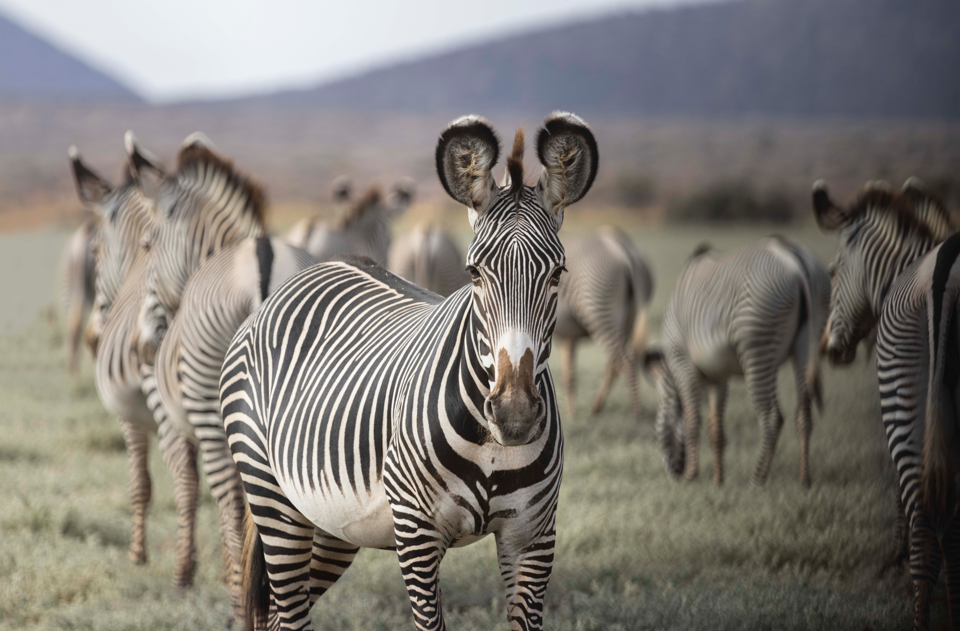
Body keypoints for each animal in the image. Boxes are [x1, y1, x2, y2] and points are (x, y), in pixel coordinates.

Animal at [68, 139, 203, 587]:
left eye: (96, 249)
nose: (93, 339)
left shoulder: (130, 417)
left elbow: (139, 483)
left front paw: (138, 554)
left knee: (182, 473)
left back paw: (183, 572)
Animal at [554, 226, 654, 422]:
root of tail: (621, 247)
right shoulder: (566, 337)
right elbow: (568, 376)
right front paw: (570, 416)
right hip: (628, 319)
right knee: (615, 363)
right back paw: (595, 409)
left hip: (599, 310)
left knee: (626, 361)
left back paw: (636, 415)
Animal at [642, 236, 830, 486]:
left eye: (656, 428)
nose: (674, 474)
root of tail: (793, 258)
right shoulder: (717, 376)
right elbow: (716, 429)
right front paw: (718, 480)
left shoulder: (684, 364)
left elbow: (692, 420)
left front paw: (692, 477)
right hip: (807, 342)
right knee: (804, 413)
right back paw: (804, 479)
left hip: (757, 350)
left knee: (772, 417)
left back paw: (757, 480)